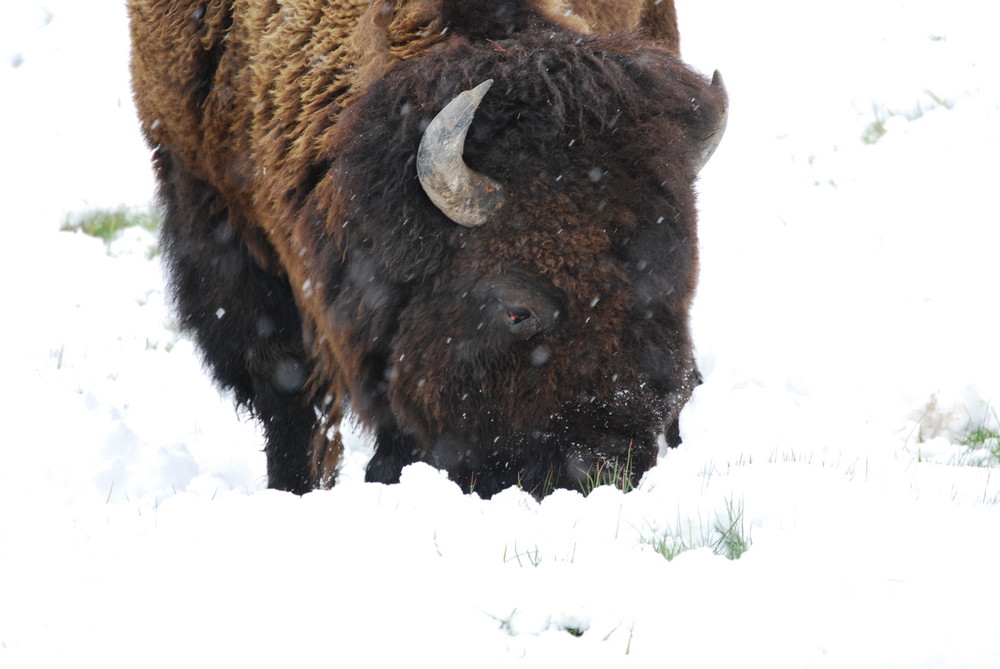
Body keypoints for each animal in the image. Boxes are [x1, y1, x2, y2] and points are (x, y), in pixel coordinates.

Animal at [131, 0, 728, 496]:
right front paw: (294, 489)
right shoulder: (214, 208)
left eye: (678, 284)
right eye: (517, 310)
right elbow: (285, 379)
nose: (606, 467)